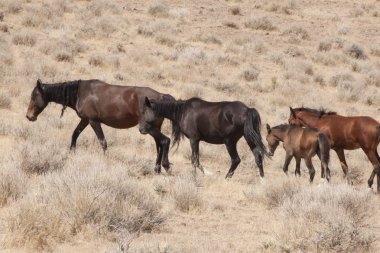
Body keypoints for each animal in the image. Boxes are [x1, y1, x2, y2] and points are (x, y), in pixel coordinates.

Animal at [26, 79, 174, 174]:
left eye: (34, 95)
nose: (29, 116)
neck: (80, 93)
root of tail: (161, 96)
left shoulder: (93, 121)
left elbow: (103, 142)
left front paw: (105, 160)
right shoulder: (85, 120)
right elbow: (75, 134)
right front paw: (71, 153)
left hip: (149, 128)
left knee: (165, 141)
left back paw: (166, 166)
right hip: (154, 128)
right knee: (159, 144)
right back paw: (157, 169)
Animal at [140, 96, 270, 178]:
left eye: (144, 112)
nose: (141, 129)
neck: (183, 111)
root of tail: (247, 110)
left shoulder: (194, 139)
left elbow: (195, 160)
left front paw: (200, 175)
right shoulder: (196, 140)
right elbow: (195, 160)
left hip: (230, 142)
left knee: (236, 160)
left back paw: (226, 178)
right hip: (249, 138)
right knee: (258, 157)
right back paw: (262, 179)